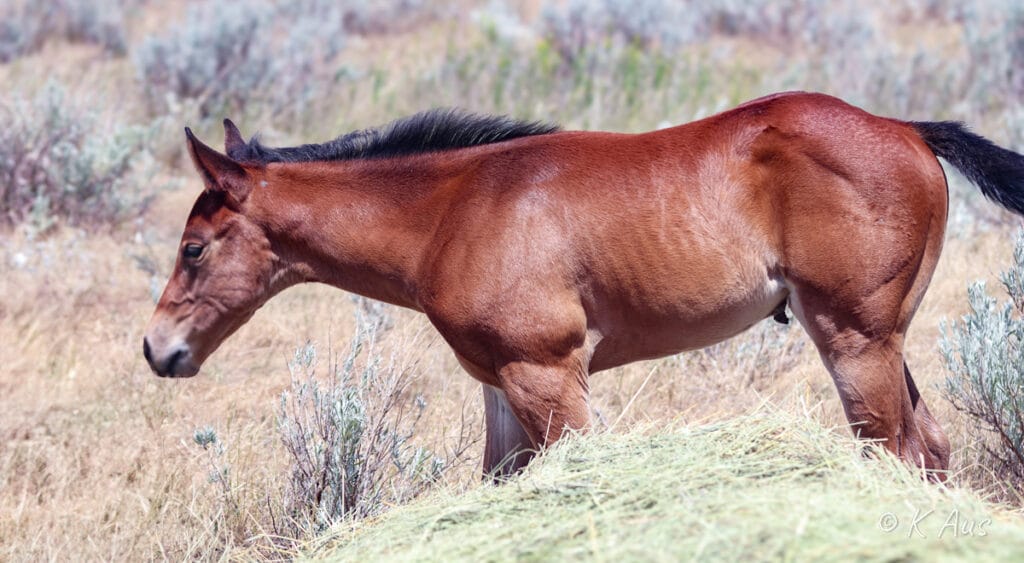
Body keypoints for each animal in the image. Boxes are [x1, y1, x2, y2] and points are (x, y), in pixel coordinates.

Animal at [142, 92, 1024, 481]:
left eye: (193, 248)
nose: (157, 349)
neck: (455, 209)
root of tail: (908, 129)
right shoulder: (501, 382)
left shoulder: (549, 374)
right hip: (879, 338)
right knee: (930, 448)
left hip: (853, 337)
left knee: (894, 451)